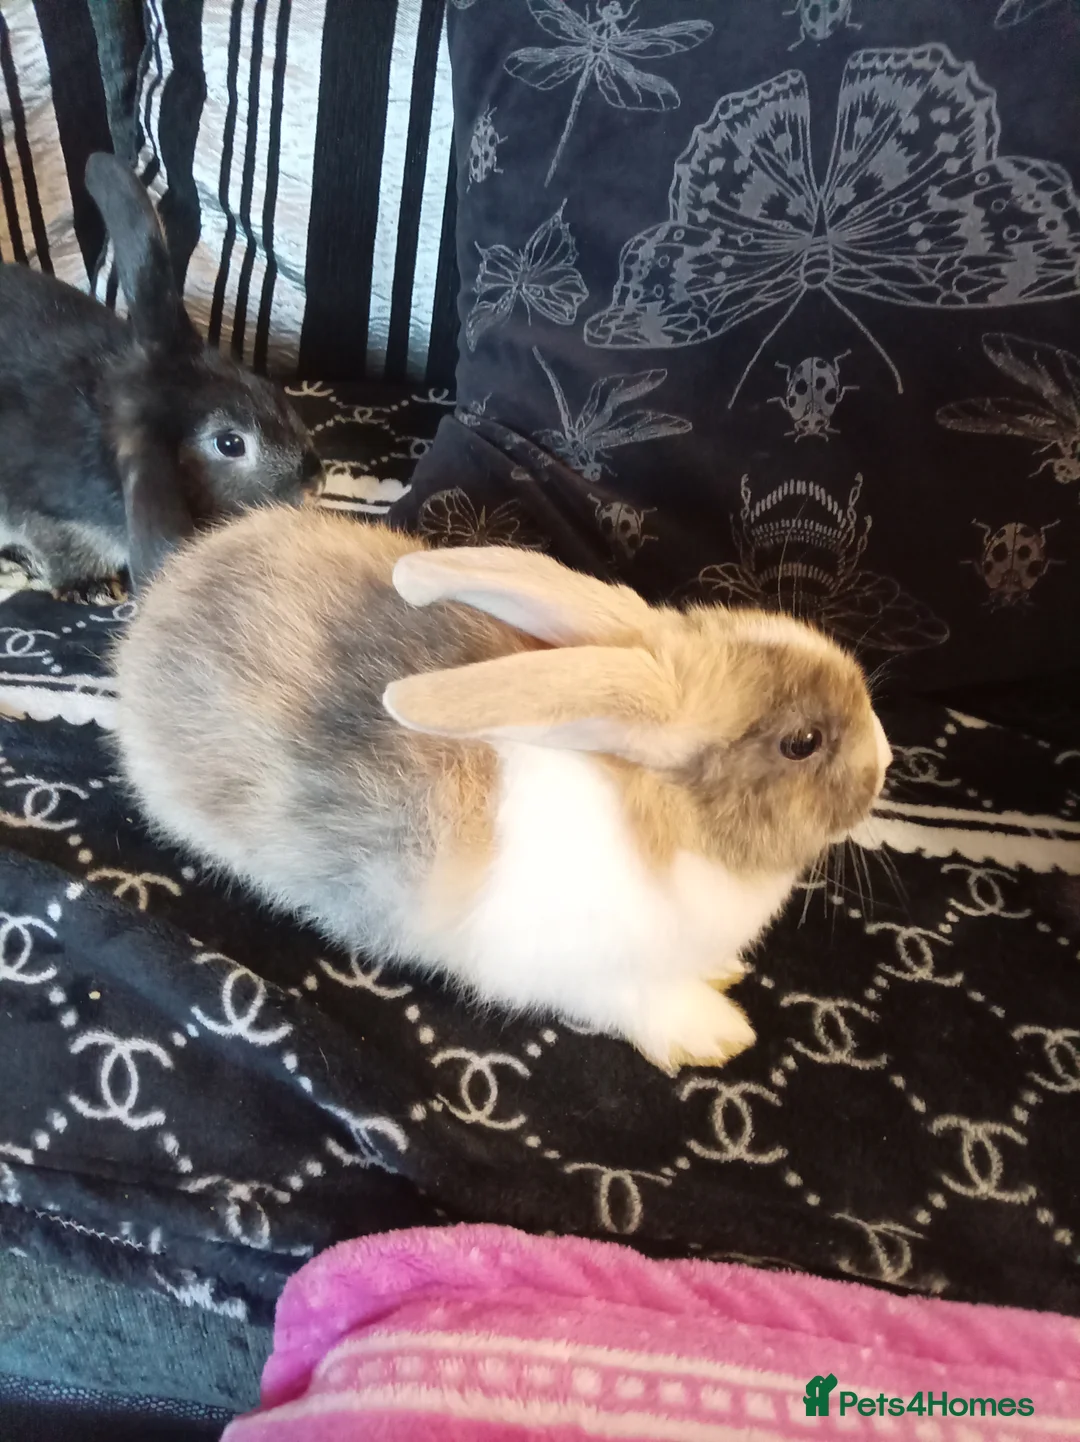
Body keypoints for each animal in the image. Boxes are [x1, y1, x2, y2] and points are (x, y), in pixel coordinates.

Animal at [0, 152, 323, 595]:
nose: (314, 480)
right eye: (230, 444)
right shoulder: (51, 517)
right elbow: (62, 548)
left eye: (261, 384)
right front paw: (90, 588)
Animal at [112, 506, 893, 1072]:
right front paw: (715, 1034)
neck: (664, 823)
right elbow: (642, 1000)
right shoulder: (586, 974)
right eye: (802, 743)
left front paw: (724, 973)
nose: (885, 761)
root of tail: (161, 603)